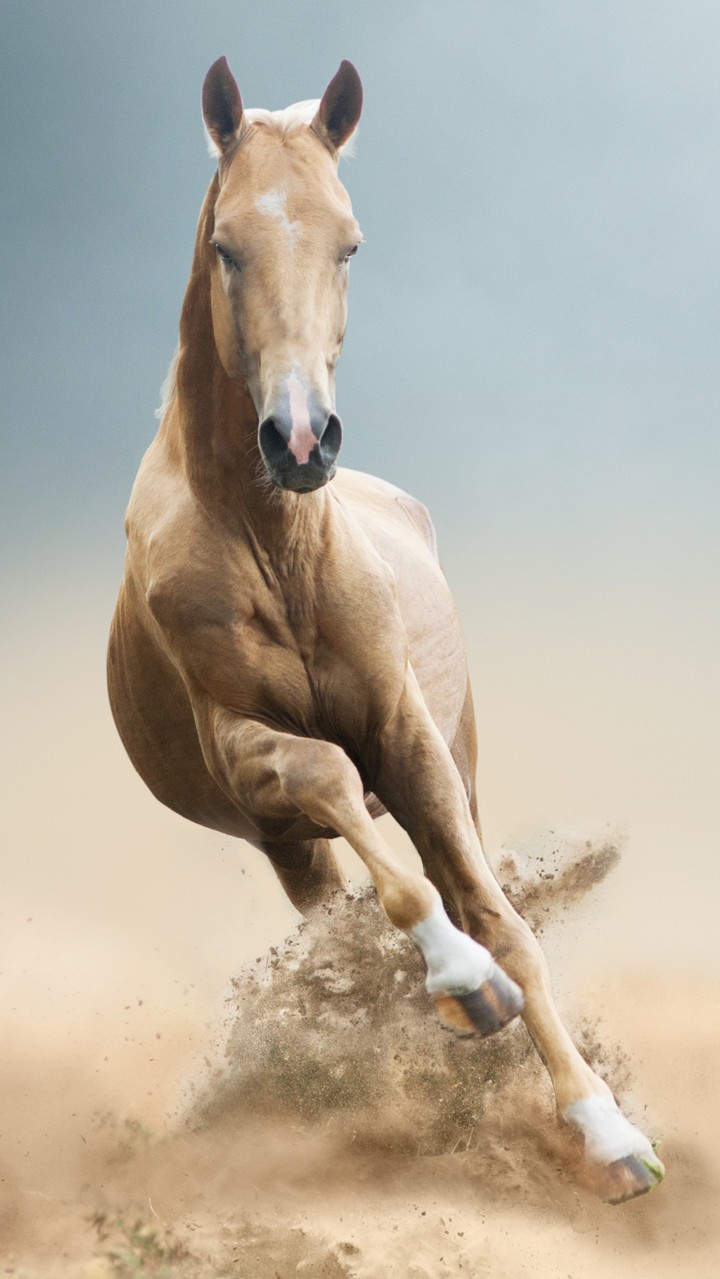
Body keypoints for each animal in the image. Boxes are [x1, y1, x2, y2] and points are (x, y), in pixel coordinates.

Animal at [107, 55, 664, 1204]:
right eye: (228, 245)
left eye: (350, 241)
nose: (299, 439)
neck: (275, 542)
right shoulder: (243, 751)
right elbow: (334, 785)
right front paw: (464, 985)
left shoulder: (412, 742)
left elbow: (503, 917)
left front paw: (609, 1133)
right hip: (283, 842)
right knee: (336, 892)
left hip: (453, 763)